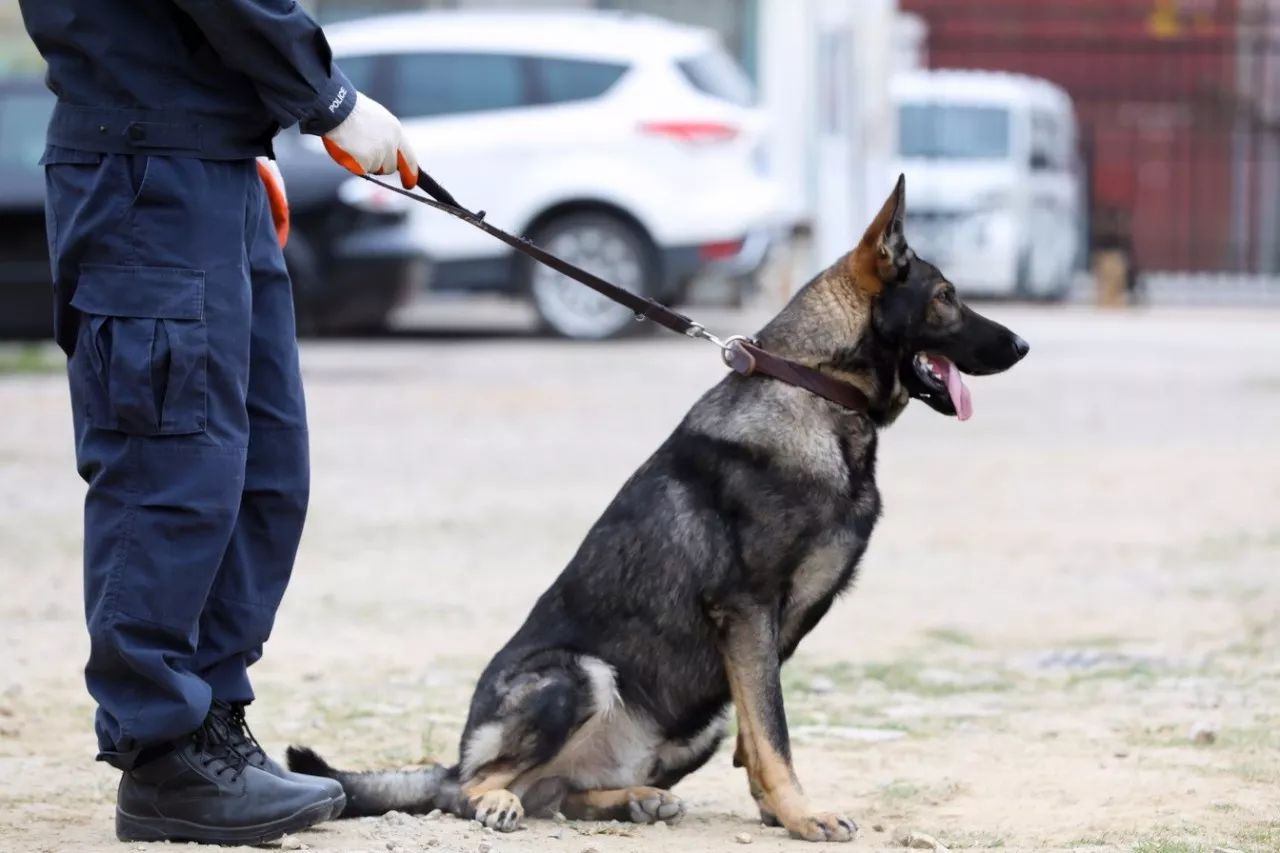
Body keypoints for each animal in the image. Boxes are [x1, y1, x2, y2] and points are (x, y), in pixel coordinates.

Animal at [290, 178, 1029, 835]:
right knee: (475, 785)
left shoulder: (759, 643)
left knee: (555, 795)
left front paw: (774, 810)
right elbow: (776, 730)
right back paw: (495, 801)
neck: (813, 385)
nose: (1023, 345)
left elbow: (758, 734)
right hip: (577, 675)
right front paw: (800, 815)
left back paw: (634, 799)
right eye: (946, 296)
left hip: (694, 723)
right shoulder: (748, 610)